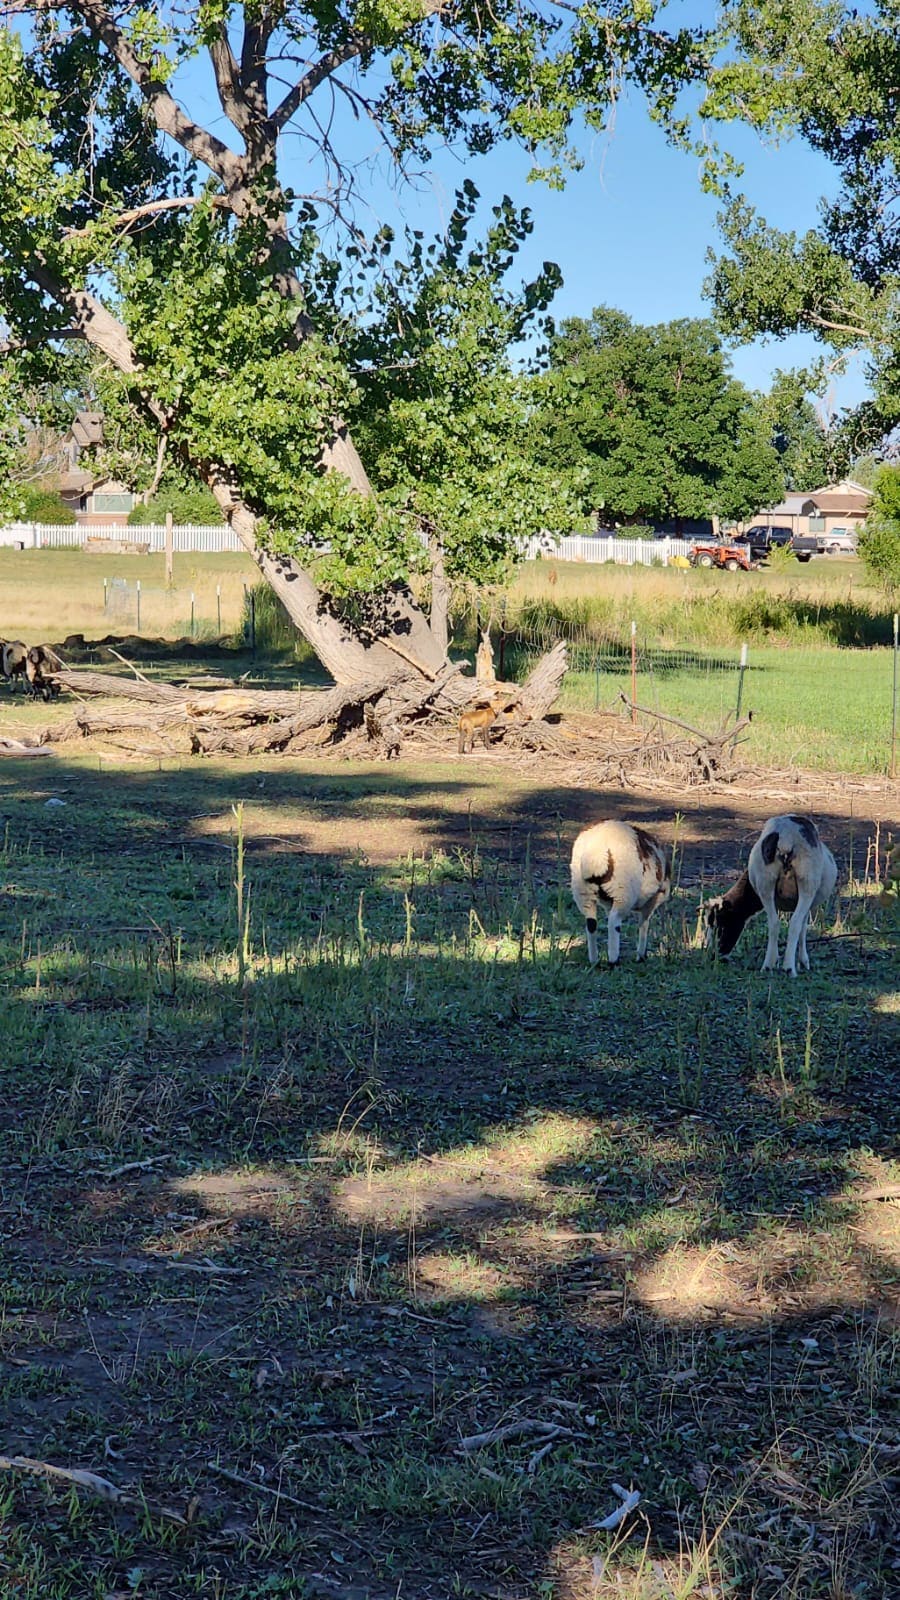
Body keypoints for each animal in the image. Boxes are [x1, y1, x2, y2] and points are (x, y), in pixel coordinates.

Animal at [570, 825, 669, 960]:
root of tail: (596, 851)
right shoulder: (653, 900)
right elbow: (644, 924)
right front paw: (641, 956)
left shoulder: (608, 903)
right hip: (623, 892)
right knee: (614, 921)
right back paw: (613, 960)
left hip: (583, 892)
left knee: (591, 923)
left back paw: (594, 960)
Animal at [704, 812, 839, 972]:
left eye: (721, 926)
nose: (713, 957)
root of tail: (786, 835)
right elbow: (803, 927)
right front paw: (803, 962)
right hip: (807, 882)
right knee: (794, 923)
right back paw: (789, 968)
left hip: (765, 882)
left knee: (774, 923)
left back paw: (768, 965)